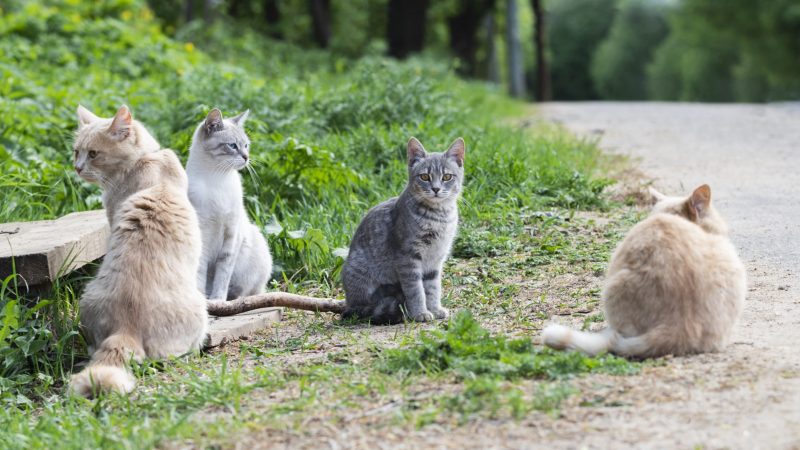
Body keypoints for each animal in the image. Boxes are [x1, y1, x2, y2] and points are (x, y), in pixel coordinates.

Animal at [186, 107, 274, 300]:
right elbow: (201, 272)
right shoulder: (202, 232)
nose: (247, 157)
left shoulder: (231, 232)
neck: (218, 179)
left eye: (246, 145)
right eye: (232, 146)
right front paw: (204, 299)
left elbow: (223, 273)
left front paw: (218, 300)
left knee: (247, 291)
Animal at [340, 137, 466, 324]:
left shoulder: (436, 259)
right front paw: (420, 312)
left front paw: (435, 309)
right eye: (424, 176)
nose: (436, 189)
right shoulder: (408, 257)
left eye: (447, 176)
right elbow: (416, 290)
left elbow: (433, 288)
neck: (438, 217)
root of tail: (349, 303)